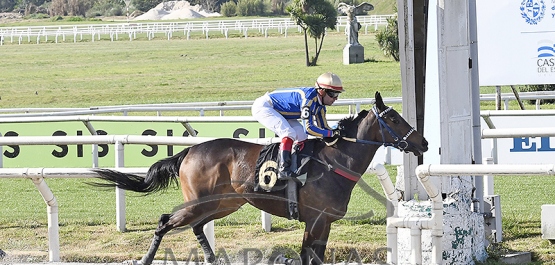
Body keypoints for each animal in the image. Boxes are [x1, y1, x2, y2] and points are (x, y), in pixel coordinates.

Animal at [92, 91, 430, 264]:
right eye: (393, 118)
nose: (424, 142)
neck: (335, 160)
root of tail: (188, 151)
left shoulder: (322, 222)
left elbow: (314, 256)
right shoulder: (316, 220)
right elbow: (309, 256)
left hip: (225, 202)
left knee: (198, 227)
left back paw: (214, 259)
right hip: (202, 202)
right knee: (165, 222)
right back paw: (147, 259)